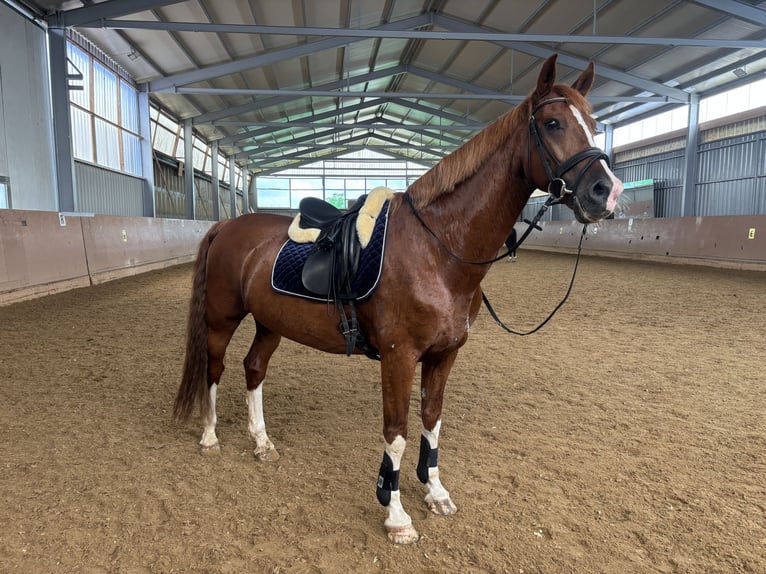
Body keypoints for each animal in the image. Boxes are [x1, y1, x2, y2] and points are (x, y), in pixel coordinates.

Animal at [173, 54, 624, 544]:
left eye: (594, 125)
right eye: (553, 122)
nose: (607, 192)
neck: (438, 248)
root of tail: (227, 225)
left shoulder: (444, 355)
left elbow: (431, 420)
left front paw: (435, 491)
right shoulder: (398, 356)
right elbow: (397, 431)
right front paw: (395, 514)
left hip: (270, 322)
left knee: (254, 369)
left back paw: (261, 442)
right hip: (222, 319)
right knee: (214, 368)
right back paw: (210, 437)